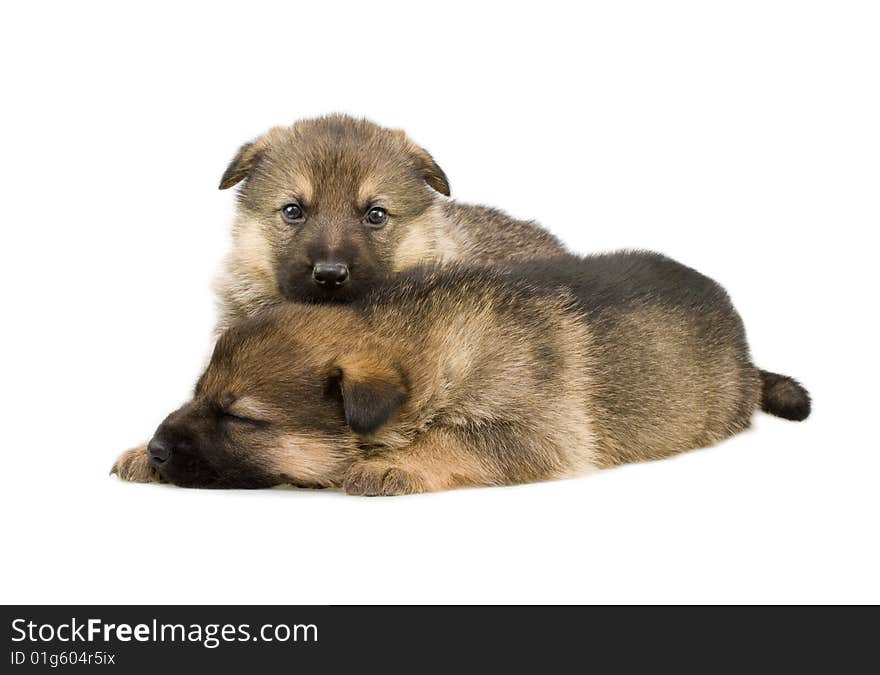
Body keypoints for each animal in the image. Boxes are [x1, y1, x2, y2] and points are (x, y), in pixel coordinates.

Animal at [113, 251, 816, 494]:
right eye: (198, 396)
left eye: (240, 417)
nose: (158, 447)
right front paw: (138, 454)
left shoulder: (537, 434)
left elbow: (454, 439)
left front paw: (394, 463)